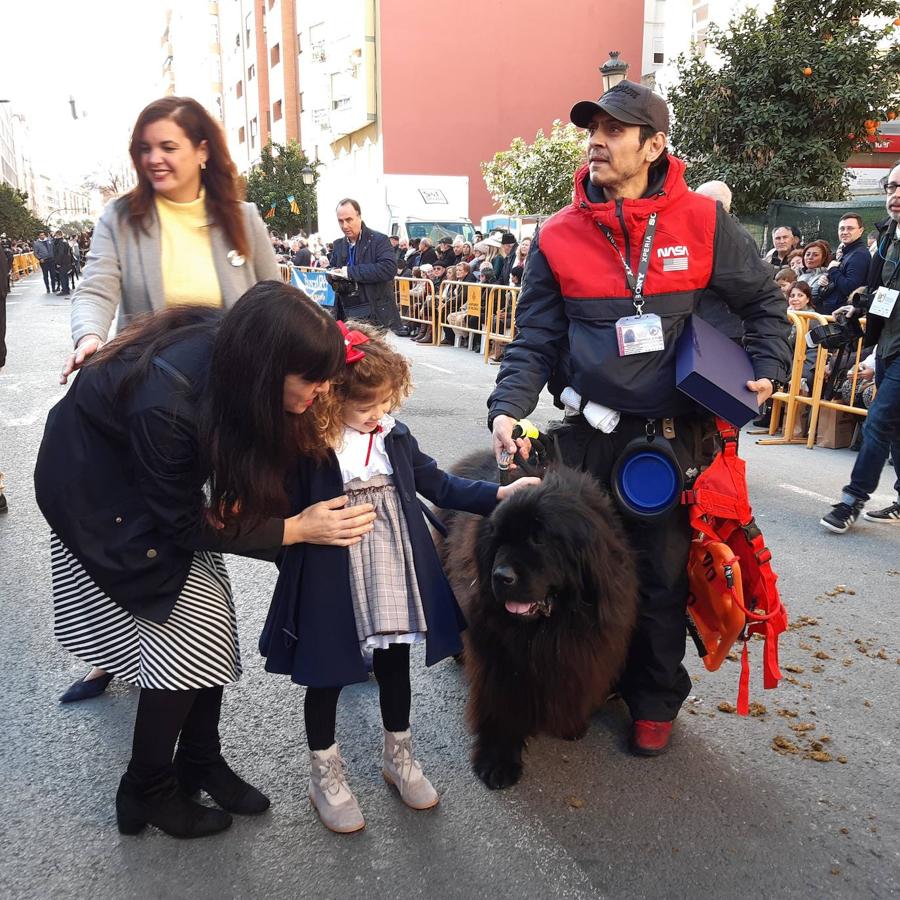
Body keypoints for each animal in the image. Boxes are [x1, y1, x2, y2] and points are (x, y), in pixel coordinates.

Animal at [438, 454, 640, 792]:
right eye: (499, 539)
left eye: (539, 540)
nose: (501, 576)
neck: (548, 627)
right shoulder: (499, 656)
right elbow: (501, 703)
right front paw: (498, 761)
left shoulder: (584, 642)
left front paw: (571, 723)